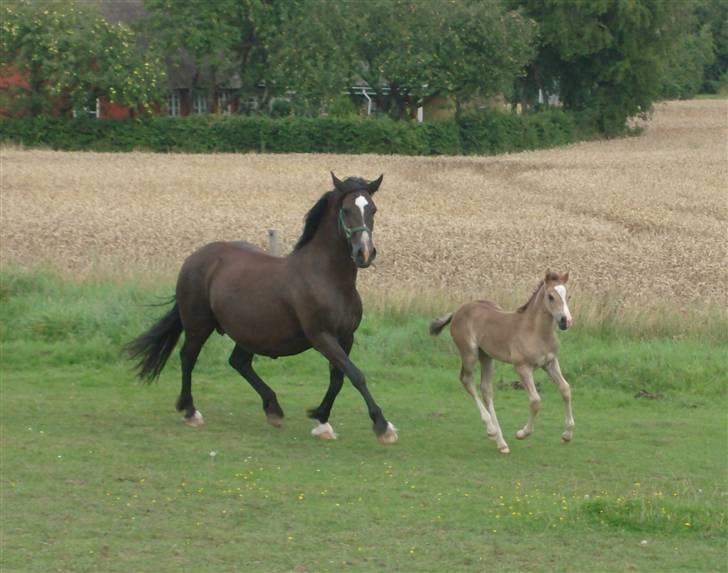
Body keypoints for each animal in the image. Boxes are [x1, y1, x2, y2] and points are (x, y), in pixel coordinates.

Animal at [126, 172, 398, 444]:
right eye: (346, 209)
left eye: (373, 209)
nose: (364, 253)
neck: (327, 278)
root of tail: (195, 257)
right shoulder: (321, 336)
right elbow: (356, 375)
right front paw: (383, 426)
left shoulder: (346, 337)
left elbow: (338, 378)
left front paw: (321, 420)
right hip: (198, 324)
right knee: (188, 357)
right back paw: (190, 411)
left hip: (248, 332)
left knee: (238, 362)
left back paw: (273, 408)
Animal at [430, 270, 576, 454]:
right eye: (550, 296)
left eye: (568, 296)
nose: (565, 321)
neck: (535, 332)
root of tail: (457, 311)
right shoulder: (522, 367)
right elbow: (535, 401)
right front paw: (522, 433)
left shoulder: (550, 363)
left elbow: (565, 389)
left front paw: (567, 435)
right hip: (469, 354)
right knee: (466, 380)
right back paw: (491, 430)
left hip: (486, 356)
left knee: (486, 389)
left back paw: (501, 443)